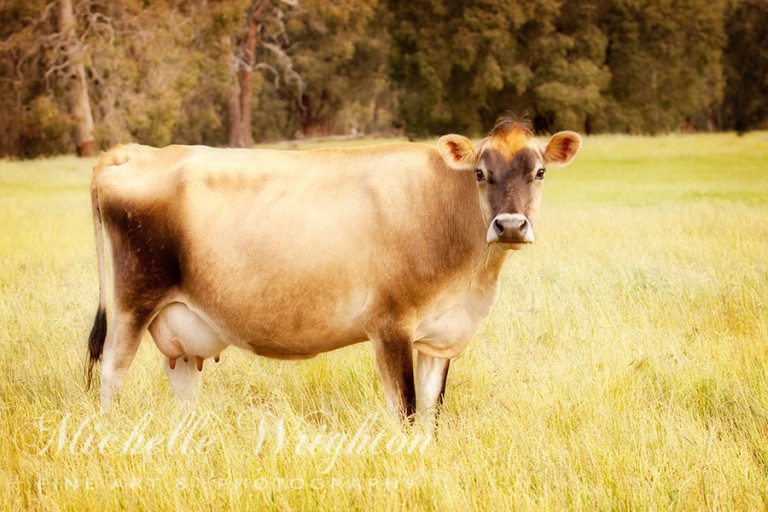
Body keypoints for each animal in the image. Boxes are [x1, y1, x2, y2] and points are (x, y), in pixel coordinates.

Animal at [86, 117, 581, 424]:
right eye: (480, 173)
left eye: (539, 171)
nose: (510, 225)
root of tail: (138, 152)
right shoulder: (390, 326)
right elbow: (406, 411)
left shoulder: (440, 338)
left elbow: (431, 414)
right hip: (134, 301)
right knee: (110, 372)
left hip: (181, 324)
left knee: (183, 384)